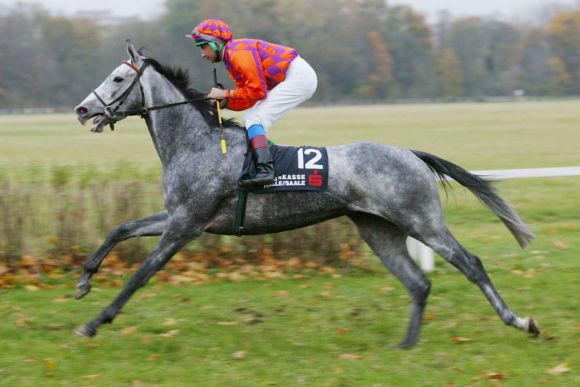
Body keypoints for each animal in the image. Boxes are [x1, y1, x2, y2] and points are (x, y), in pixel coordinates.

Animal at [72, 41, 540, 348]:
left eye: (117, 78)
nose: (82, 109)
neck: (196, 142)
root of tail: (412, 153)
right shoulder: (180, 216)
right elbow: (121, 228)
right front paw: (83, 281)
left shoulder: (188, 224)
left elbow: (141, 273)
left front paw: (95, 322)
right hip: (378, 229)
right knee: (418, 282)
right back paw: (406, 345)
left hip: (422, 220)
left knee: (471, 264)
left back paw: (520, 321)